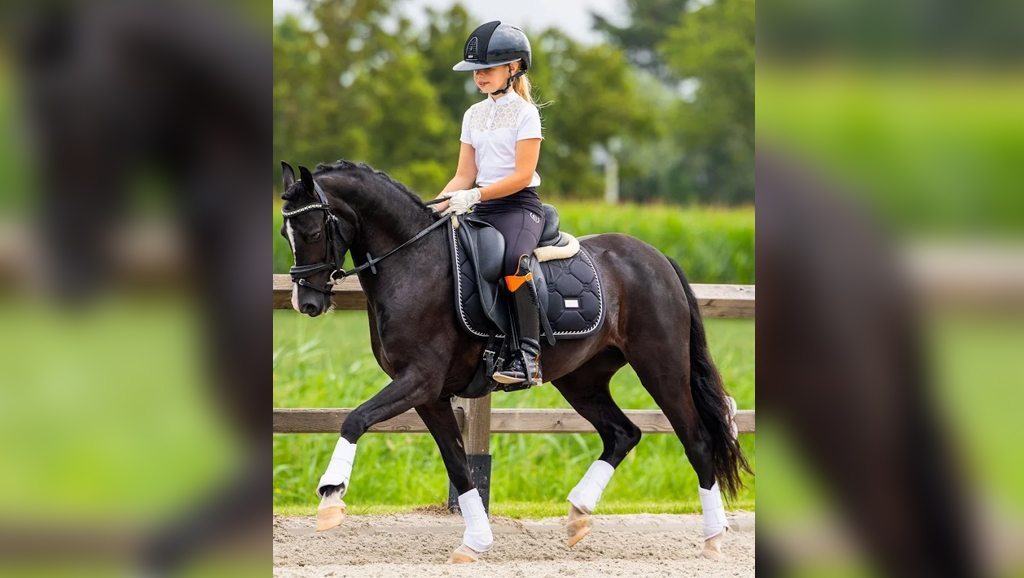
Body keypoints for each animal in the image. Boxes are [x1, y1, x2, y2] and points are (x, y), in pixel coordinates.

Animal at [279, 159, 751, 563]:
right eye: (286, 234)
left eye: (312, 229)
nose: (306, 303)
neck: (413, 262)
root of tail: (656, 257)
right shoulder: (429, 395)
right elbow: (459, 466)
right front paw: (475, 542)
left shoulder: (420, 380)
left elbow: (355, 419)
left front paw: (331, 495)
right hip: (582, 379)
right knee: (623, 434)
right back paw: (579, 514)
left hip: (661, 366)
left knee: (696, 440)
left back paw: (713, 539)